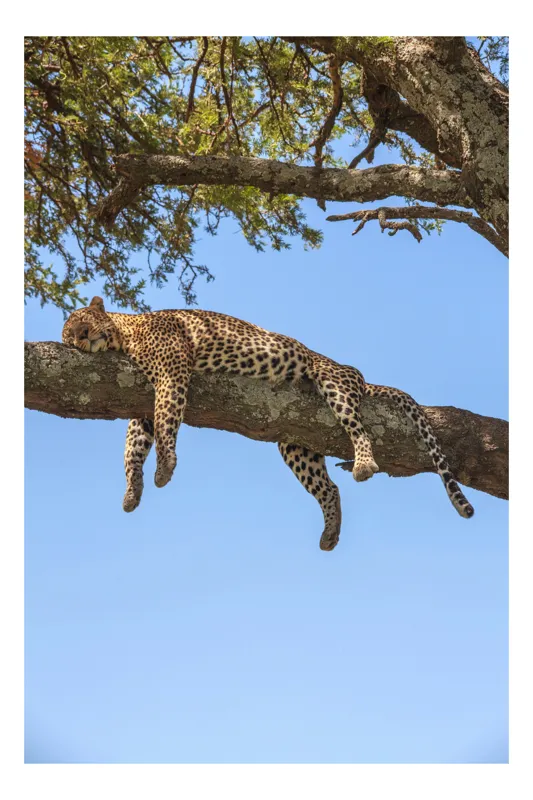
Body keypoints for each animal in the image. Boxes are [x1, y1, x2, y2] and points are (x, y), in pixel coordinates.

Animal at [62, 296, 474, 551]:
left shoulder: (172, 370)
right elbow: (135, 443)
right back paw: (330, 532)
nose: (81, 339)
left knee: (357, 428)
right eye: (68, 336)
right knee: (329, 488)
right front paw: (132, 491)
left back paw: (364, 463)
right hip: (295, 442)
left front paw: (164, 467)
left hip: (334, 382)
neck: (124, 334)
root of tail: (357, 375)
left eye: (82, 323)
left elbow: (167, 418)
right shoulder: (141, 400)